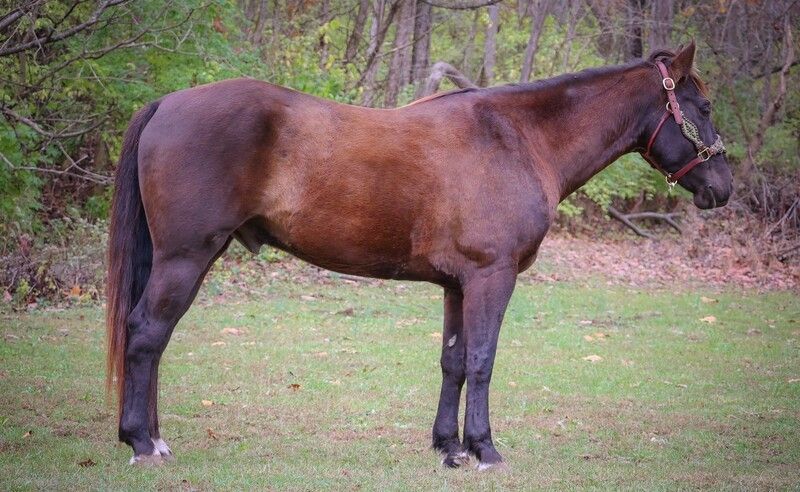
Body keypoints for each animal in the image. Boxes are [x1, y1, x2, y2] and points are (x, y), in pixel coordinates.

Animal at [106, 41, 732, 468]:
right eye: (701, 107)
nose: (722, 188)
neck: (515, 137)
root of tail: (166, 105)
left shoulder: (458, 285)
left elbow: (453, 362)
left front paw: (449, 448)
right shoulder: (491, 278)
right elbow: (482, 359)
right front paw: (484, 449)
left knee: (155, 340)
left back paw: (154, 437)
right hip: (185, 258)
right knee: (147, 334)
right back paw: (141, 441)